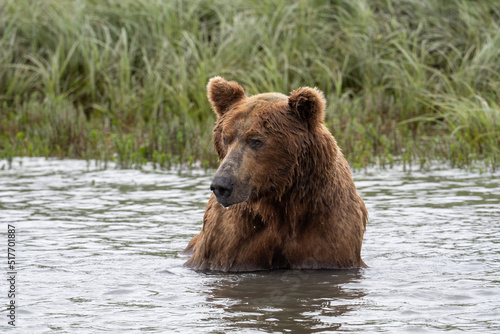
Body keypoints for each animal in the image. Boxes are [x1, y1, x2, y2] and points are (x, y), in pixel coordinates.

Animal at [184, 77, 368, 272]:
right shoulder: (229, 238)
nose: (221, 185)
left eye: (256, 141)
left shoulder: (329, 230)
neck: (280, 202)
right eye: (226, 138)